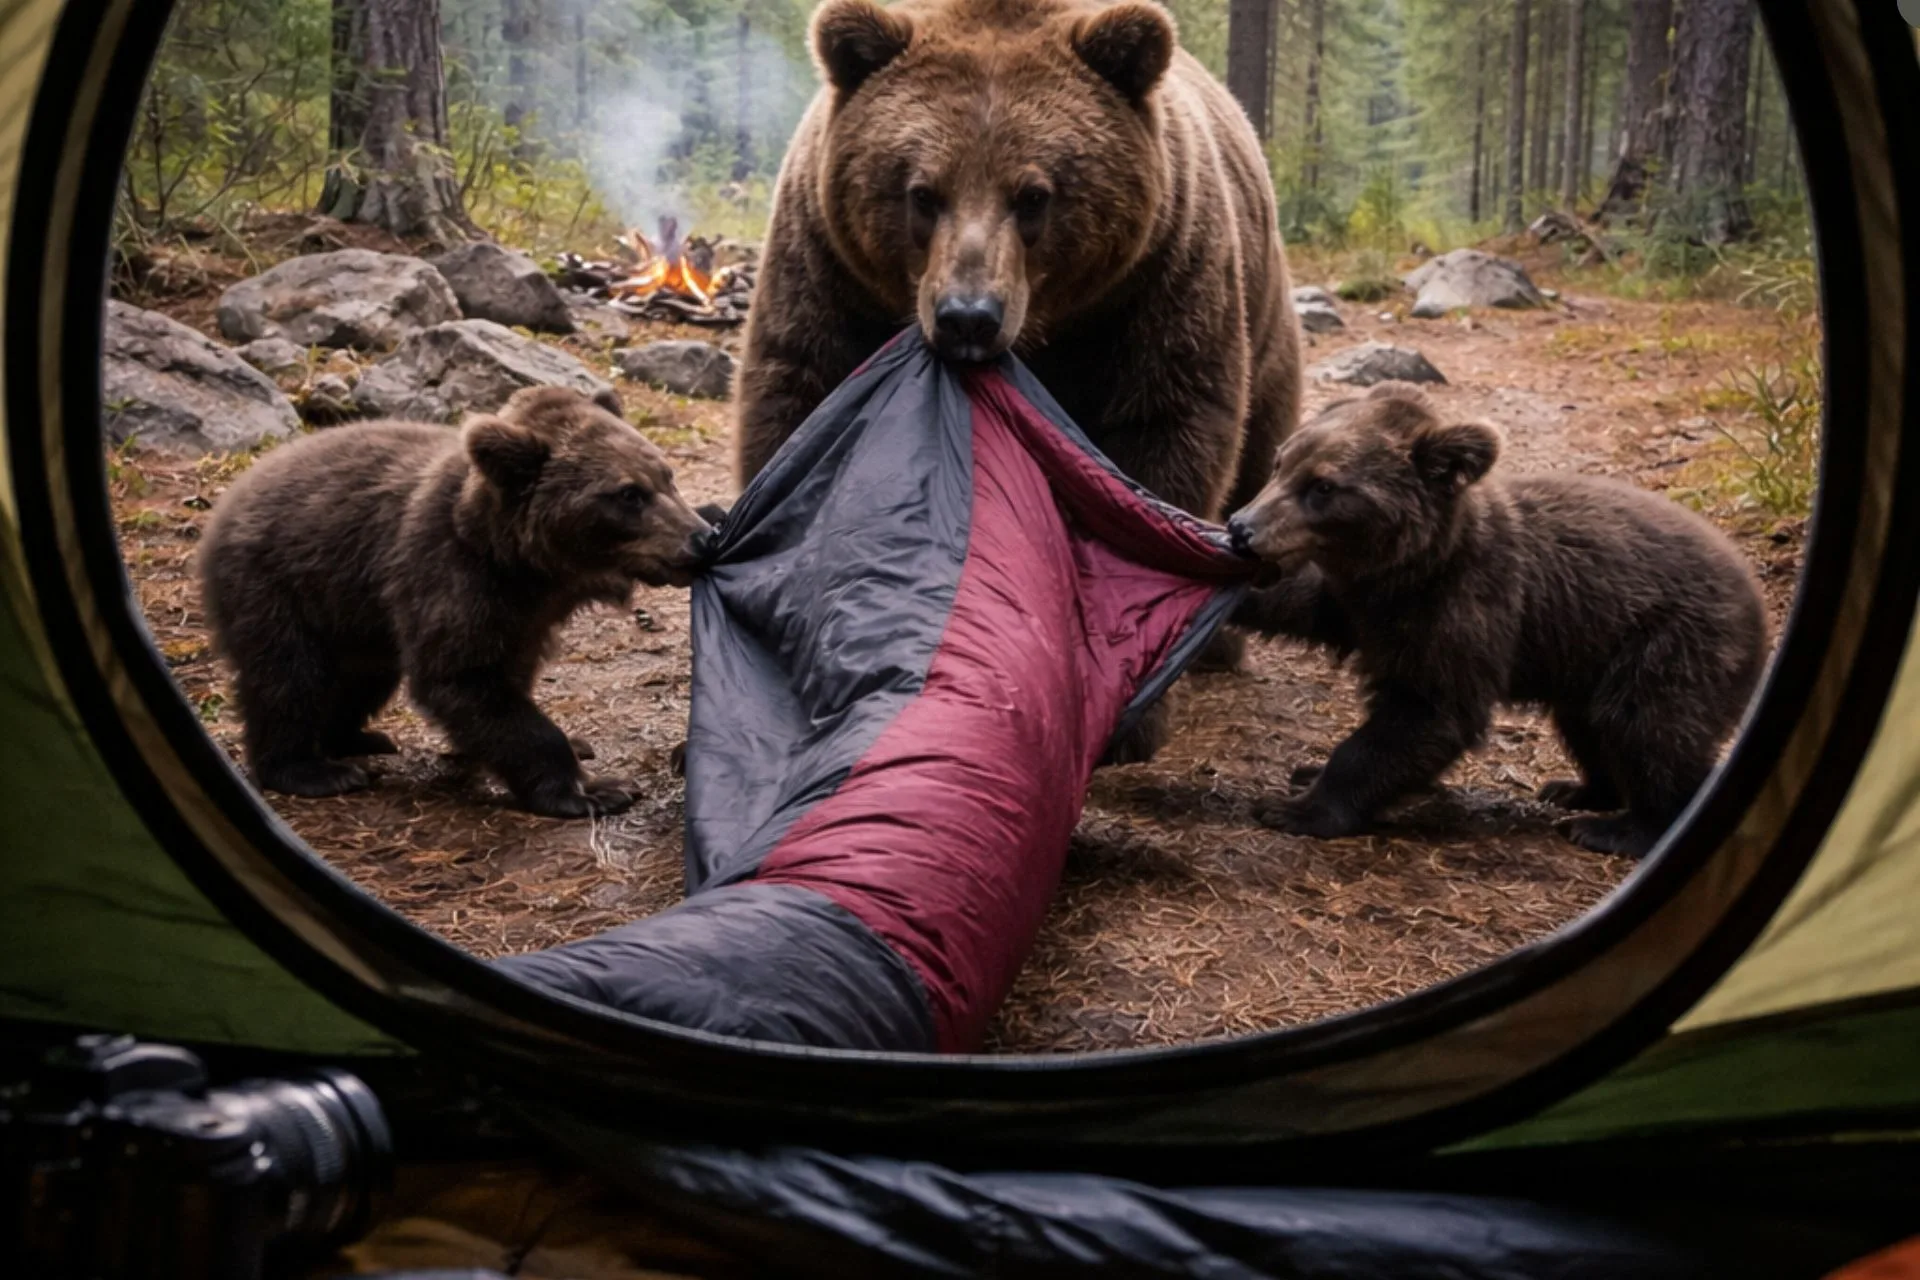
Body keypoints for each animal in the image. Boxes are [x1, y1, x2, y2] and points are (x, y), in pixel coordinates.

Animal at [199, 385, 711, 819]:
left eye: (667, 476)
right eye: (628, 494)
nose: (701, 537)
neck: (525, 566)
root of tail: (233, 496)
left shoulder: (522, 616)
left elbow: (504, 681)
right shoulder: (451, 576)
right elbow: (464, 678)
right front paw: (595, 788)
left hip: (356, 617)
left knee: (361, 678)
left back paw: (360, 738)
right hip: (280, 585)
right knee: (288, 677)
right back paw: (313, 769)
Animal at [731, 0, 1303, 759]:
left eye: (1034, 195)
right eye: (922, 192)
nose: (968, 316)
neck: (1048, 328)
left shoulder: (1155, 283)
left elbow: (1164, 432)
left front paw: (1131, 709)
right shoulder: (826, 269)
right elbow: (798, 402)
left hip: (1264, 319)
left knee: (1258, 448)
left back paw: (1222, 642)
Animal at [1226, 384, 1769, 859]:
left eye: (1324, 486)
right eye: (1281, 462)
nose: (1241, 527)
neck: (1412, 569)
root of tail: (1754, 597)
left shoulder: (1462, 613)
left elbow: (1428, 715)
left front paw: (1296, 805)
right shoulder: (1364, 605)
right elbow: (1304, 604)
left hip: (1670, 643)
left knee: (1650, 732)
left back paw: (1619, 827)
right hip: (1590, 660)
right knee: (1591, 726)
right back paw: (1576, 789)